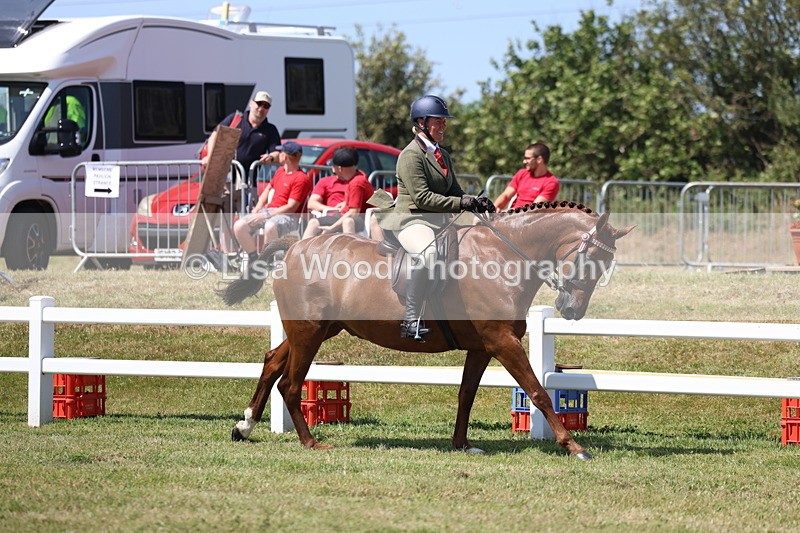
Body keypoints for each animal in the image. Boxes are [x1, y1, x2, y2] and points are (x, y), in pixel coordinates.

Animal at [219, 201, 633, 459]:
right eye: (590, 257)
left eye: (606, 263)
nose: (572, 310)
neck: (503, 256)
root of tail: (295, 247)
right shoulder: (503, 341)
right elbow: (539, 392)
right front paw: (574, 446)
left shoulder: (483, 346)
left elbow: (466, 394)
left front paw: (462, 444)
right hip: (309, 333)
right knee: (290, 383)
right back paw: (310, 442)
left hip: (316, 330)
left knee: (272, 361)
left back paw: (245, 425)